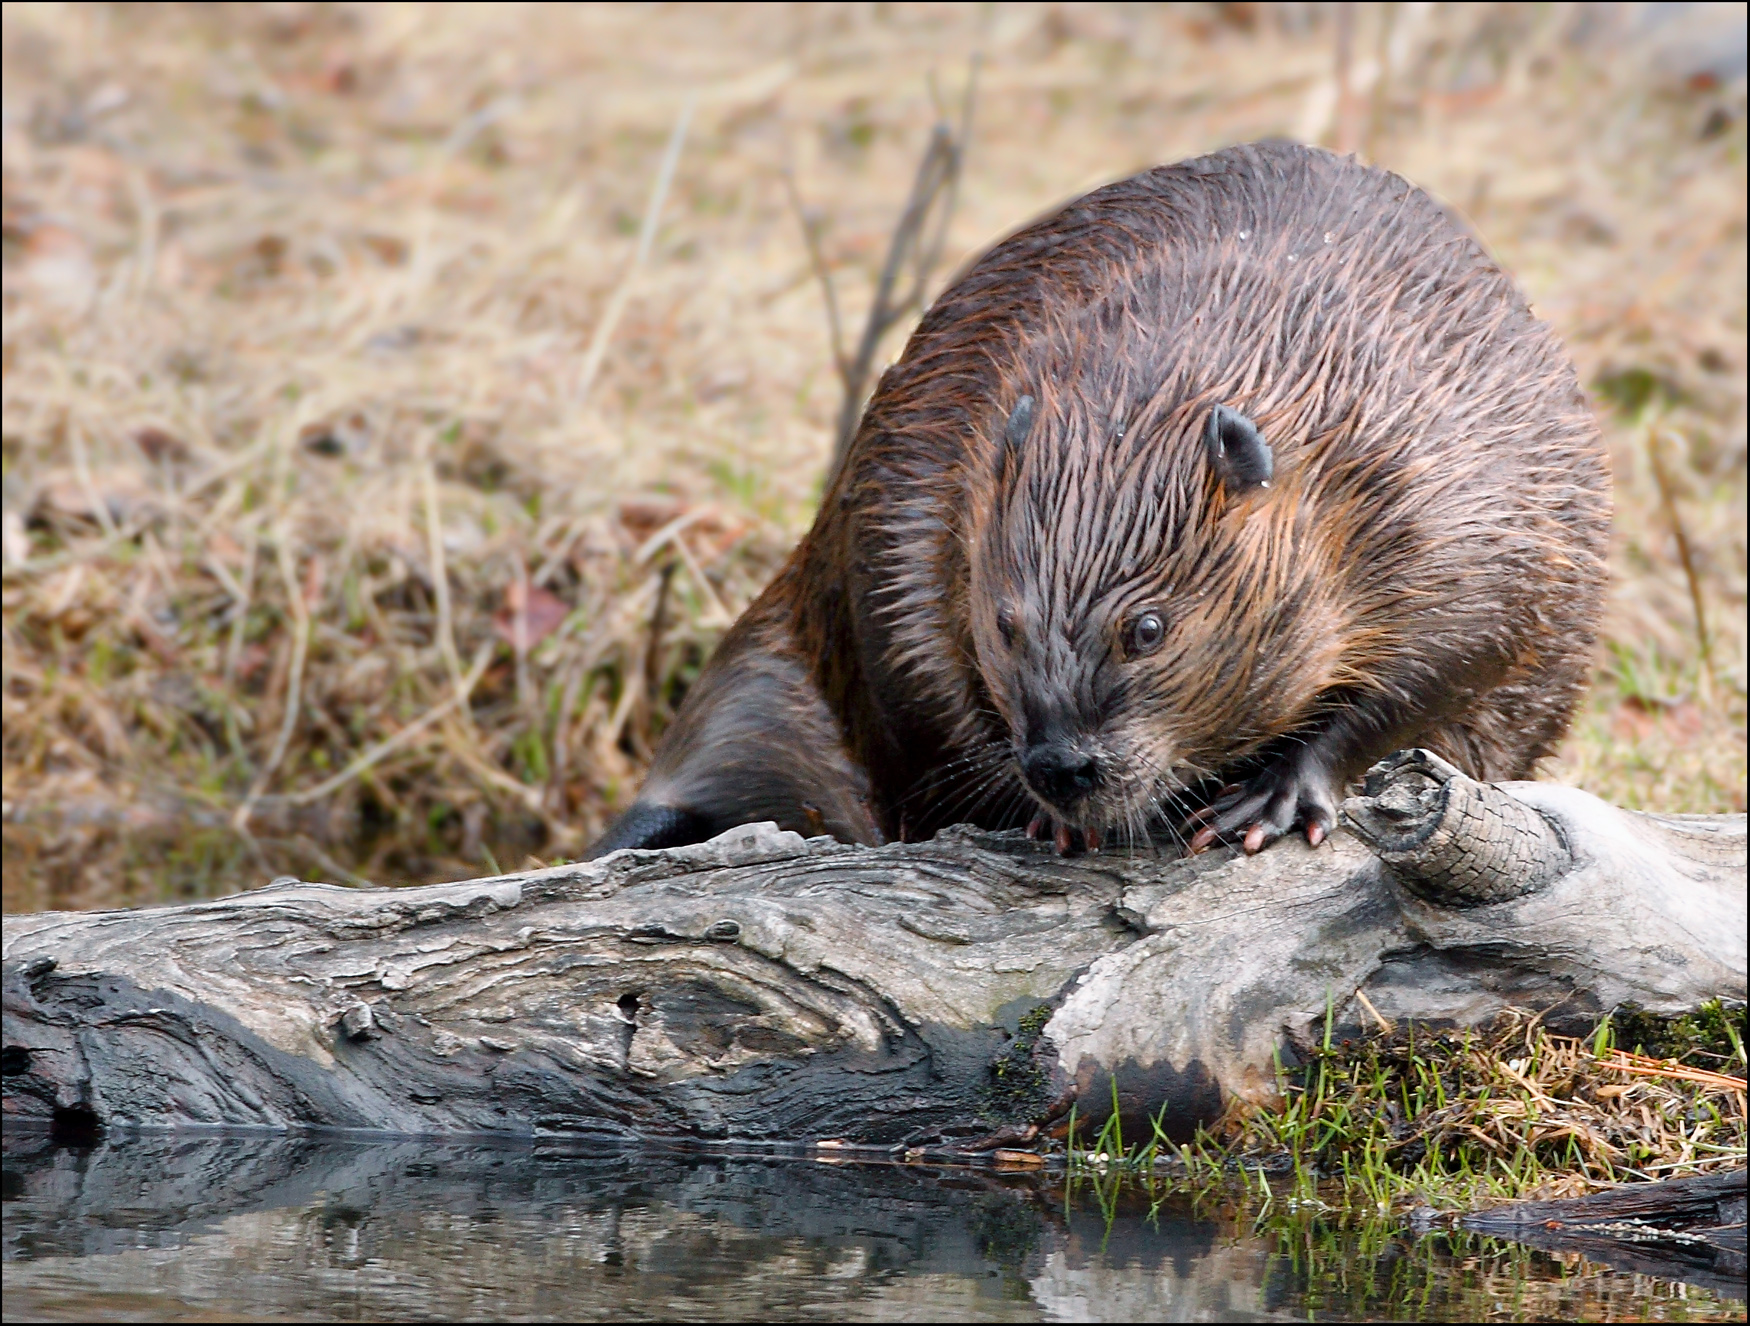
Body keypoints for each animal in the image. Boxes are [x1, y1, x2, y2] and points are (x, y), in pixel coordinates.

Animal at [588, 137, 1610, 860]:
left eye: (1147, 629)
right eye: (1005, 624)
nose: (1065, 767)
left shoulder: (1458, 497)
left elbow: (1459, 654)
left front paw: (1271, 800)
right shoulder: (925, 490)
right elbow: (923, 675)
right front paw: (1049, 818)